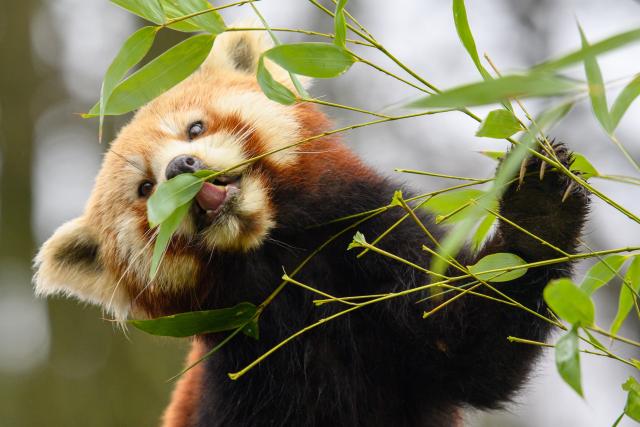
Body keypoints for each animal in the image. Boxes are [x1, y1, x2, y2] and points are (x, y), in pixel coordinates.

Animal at [32, 27, 588, 427]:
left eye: (195, 128)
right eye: (145, 189)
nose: (180, 168)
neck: (276, 252)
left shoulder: (378, 242)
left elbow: (473, 347)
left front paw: (538, 211)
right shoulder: (239, 372)